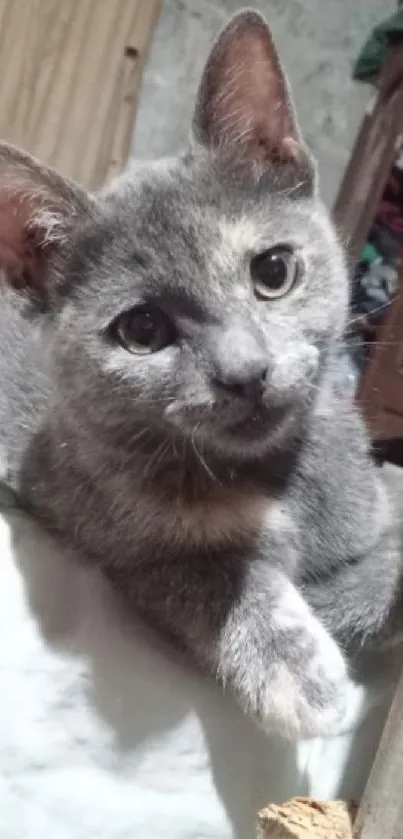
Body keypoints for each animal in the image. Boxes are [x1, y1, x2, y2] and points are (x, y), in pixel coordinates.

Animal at [0, 9, 400, 740]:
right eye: (142, 331)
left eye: (273, 270)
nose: (244, 371)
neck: (271, 476)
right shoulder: (94, 528)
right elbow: (203, 572)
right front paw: (295, 665)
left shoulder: (369, 506)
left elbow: (375, 563)